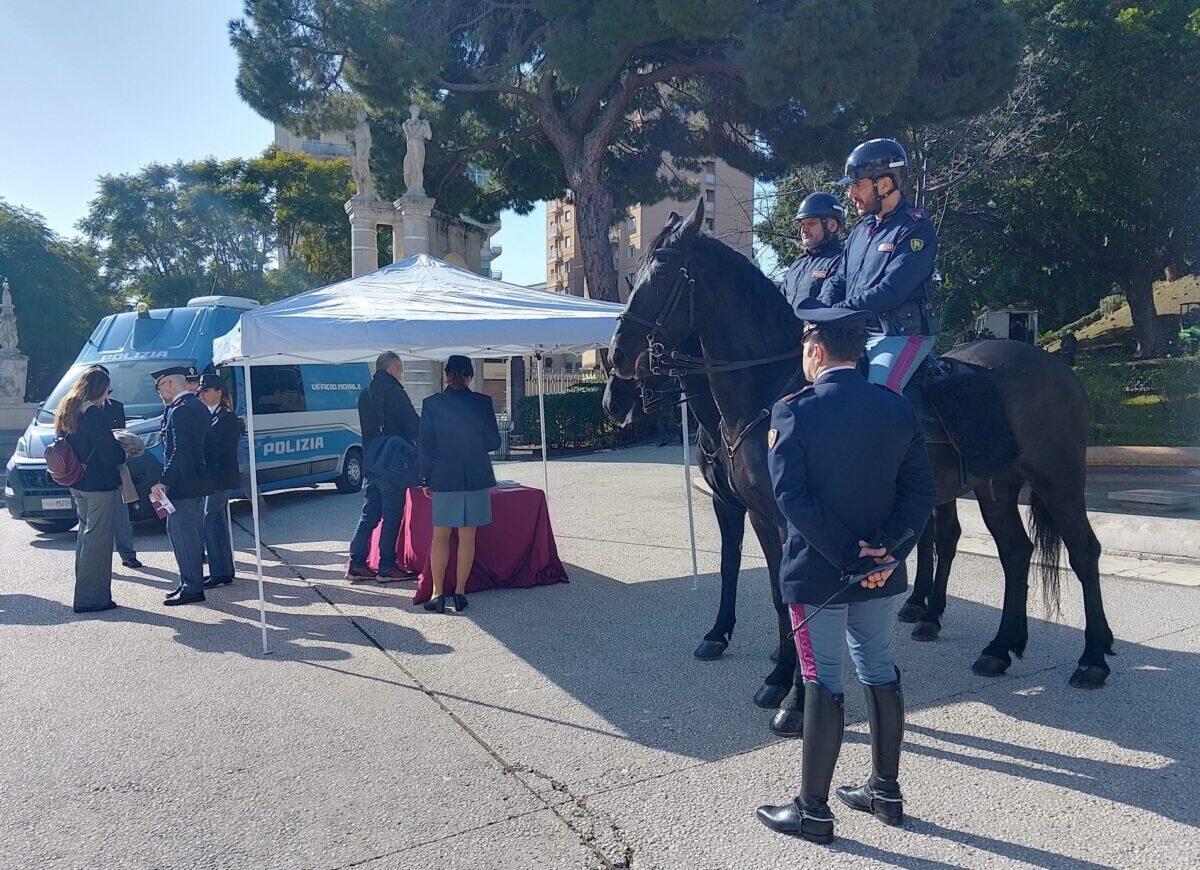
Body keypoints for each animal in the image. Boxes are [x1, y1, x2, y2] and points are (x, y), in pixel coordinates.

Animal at [609, 198, 1113, 691]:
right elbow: (770, 586)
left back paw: (1092, 657)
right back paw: (999, 646)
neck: (768, 388)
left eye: (662, 273)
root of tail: (1058, 366)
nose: (617, 358)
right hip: (995, 487)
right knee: (1014, 552)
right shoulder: (755, 512)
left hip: (1058, 479)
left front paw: (790, 681)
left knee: (1082, 550)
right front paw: (778, 668)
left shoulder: (786, 517)